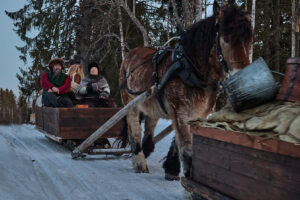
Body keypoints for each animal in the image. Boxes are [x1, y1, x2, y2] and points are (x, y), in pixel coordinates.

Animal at [118, 1, 252, 180]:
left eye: (250, 40)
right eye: (226, 39)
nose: (245, 76)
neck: (190, 69)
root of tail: (130, 53)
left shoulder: (198, 113)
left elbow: (179, 141)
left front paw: (171, 169)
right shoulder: (180, 111)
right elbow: (187, 147)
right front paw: (187, 176)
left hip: (152, 105)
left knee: (149, 128)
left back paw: (145, 151)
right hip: (129, 101)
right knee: (134, 129)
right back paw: (139, 162)